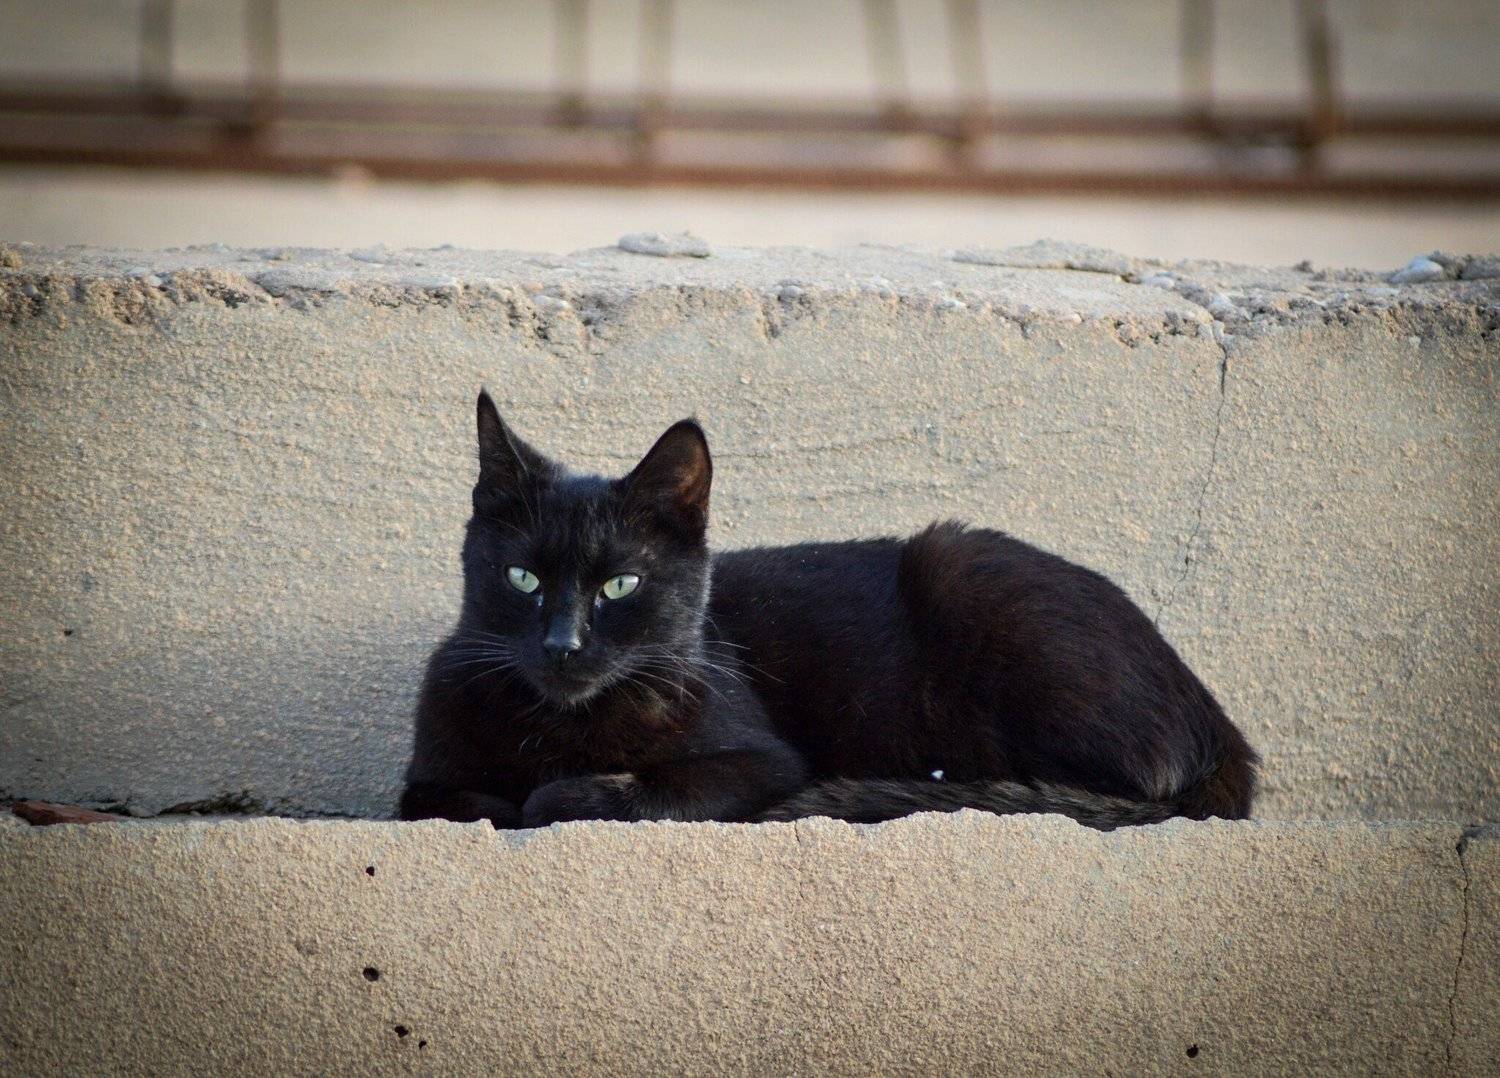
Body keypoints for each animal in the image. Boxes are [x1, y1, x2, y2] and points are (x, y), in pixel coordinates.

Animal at [398, 391, 1257, 830]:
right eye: (521, 578)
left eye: (620, 586)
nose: (563, 644)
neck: (561, 725)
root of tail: (1224, 734)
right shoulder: (426, 773)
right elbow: (445, 799)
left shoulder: (763, 762)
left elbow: (623, 791)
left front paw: (552, 794)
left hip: (963, 569)